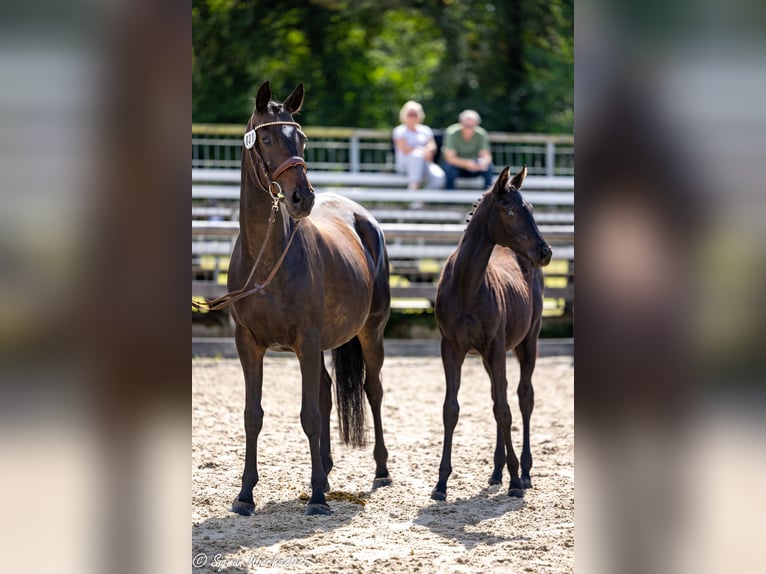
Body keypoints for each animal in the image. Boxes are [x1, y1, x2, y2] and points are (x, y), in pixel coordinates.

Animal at [225, 81, 392, 516]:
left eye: (301, 139)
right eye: (266, 138)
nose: (303, 198)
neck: (266, 258)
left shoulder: (307, 340)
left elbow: (310, 415)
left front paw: (316, 497)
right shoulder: (248, 344)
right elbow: (253, 415)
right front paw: (245, 494)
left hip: (370, 332)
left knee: (373, 390)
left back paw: (380, 470)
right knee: (328, 391)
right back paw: (328, 470)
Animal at [431, 165, 553, 501]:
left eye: (532, 208)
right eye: (510, 211)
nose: (545, 252)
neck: (467, 287)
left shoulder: (497, 347)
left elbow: (505, 410)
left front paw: (516, 480)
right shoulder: (451, 348)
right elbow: (451, 409)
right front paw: (440, 484)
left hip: (528, 340)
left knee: (523, 396)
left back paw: (524, 472)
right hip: (487, 355)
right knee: (501, 393)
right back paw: (497, 471)